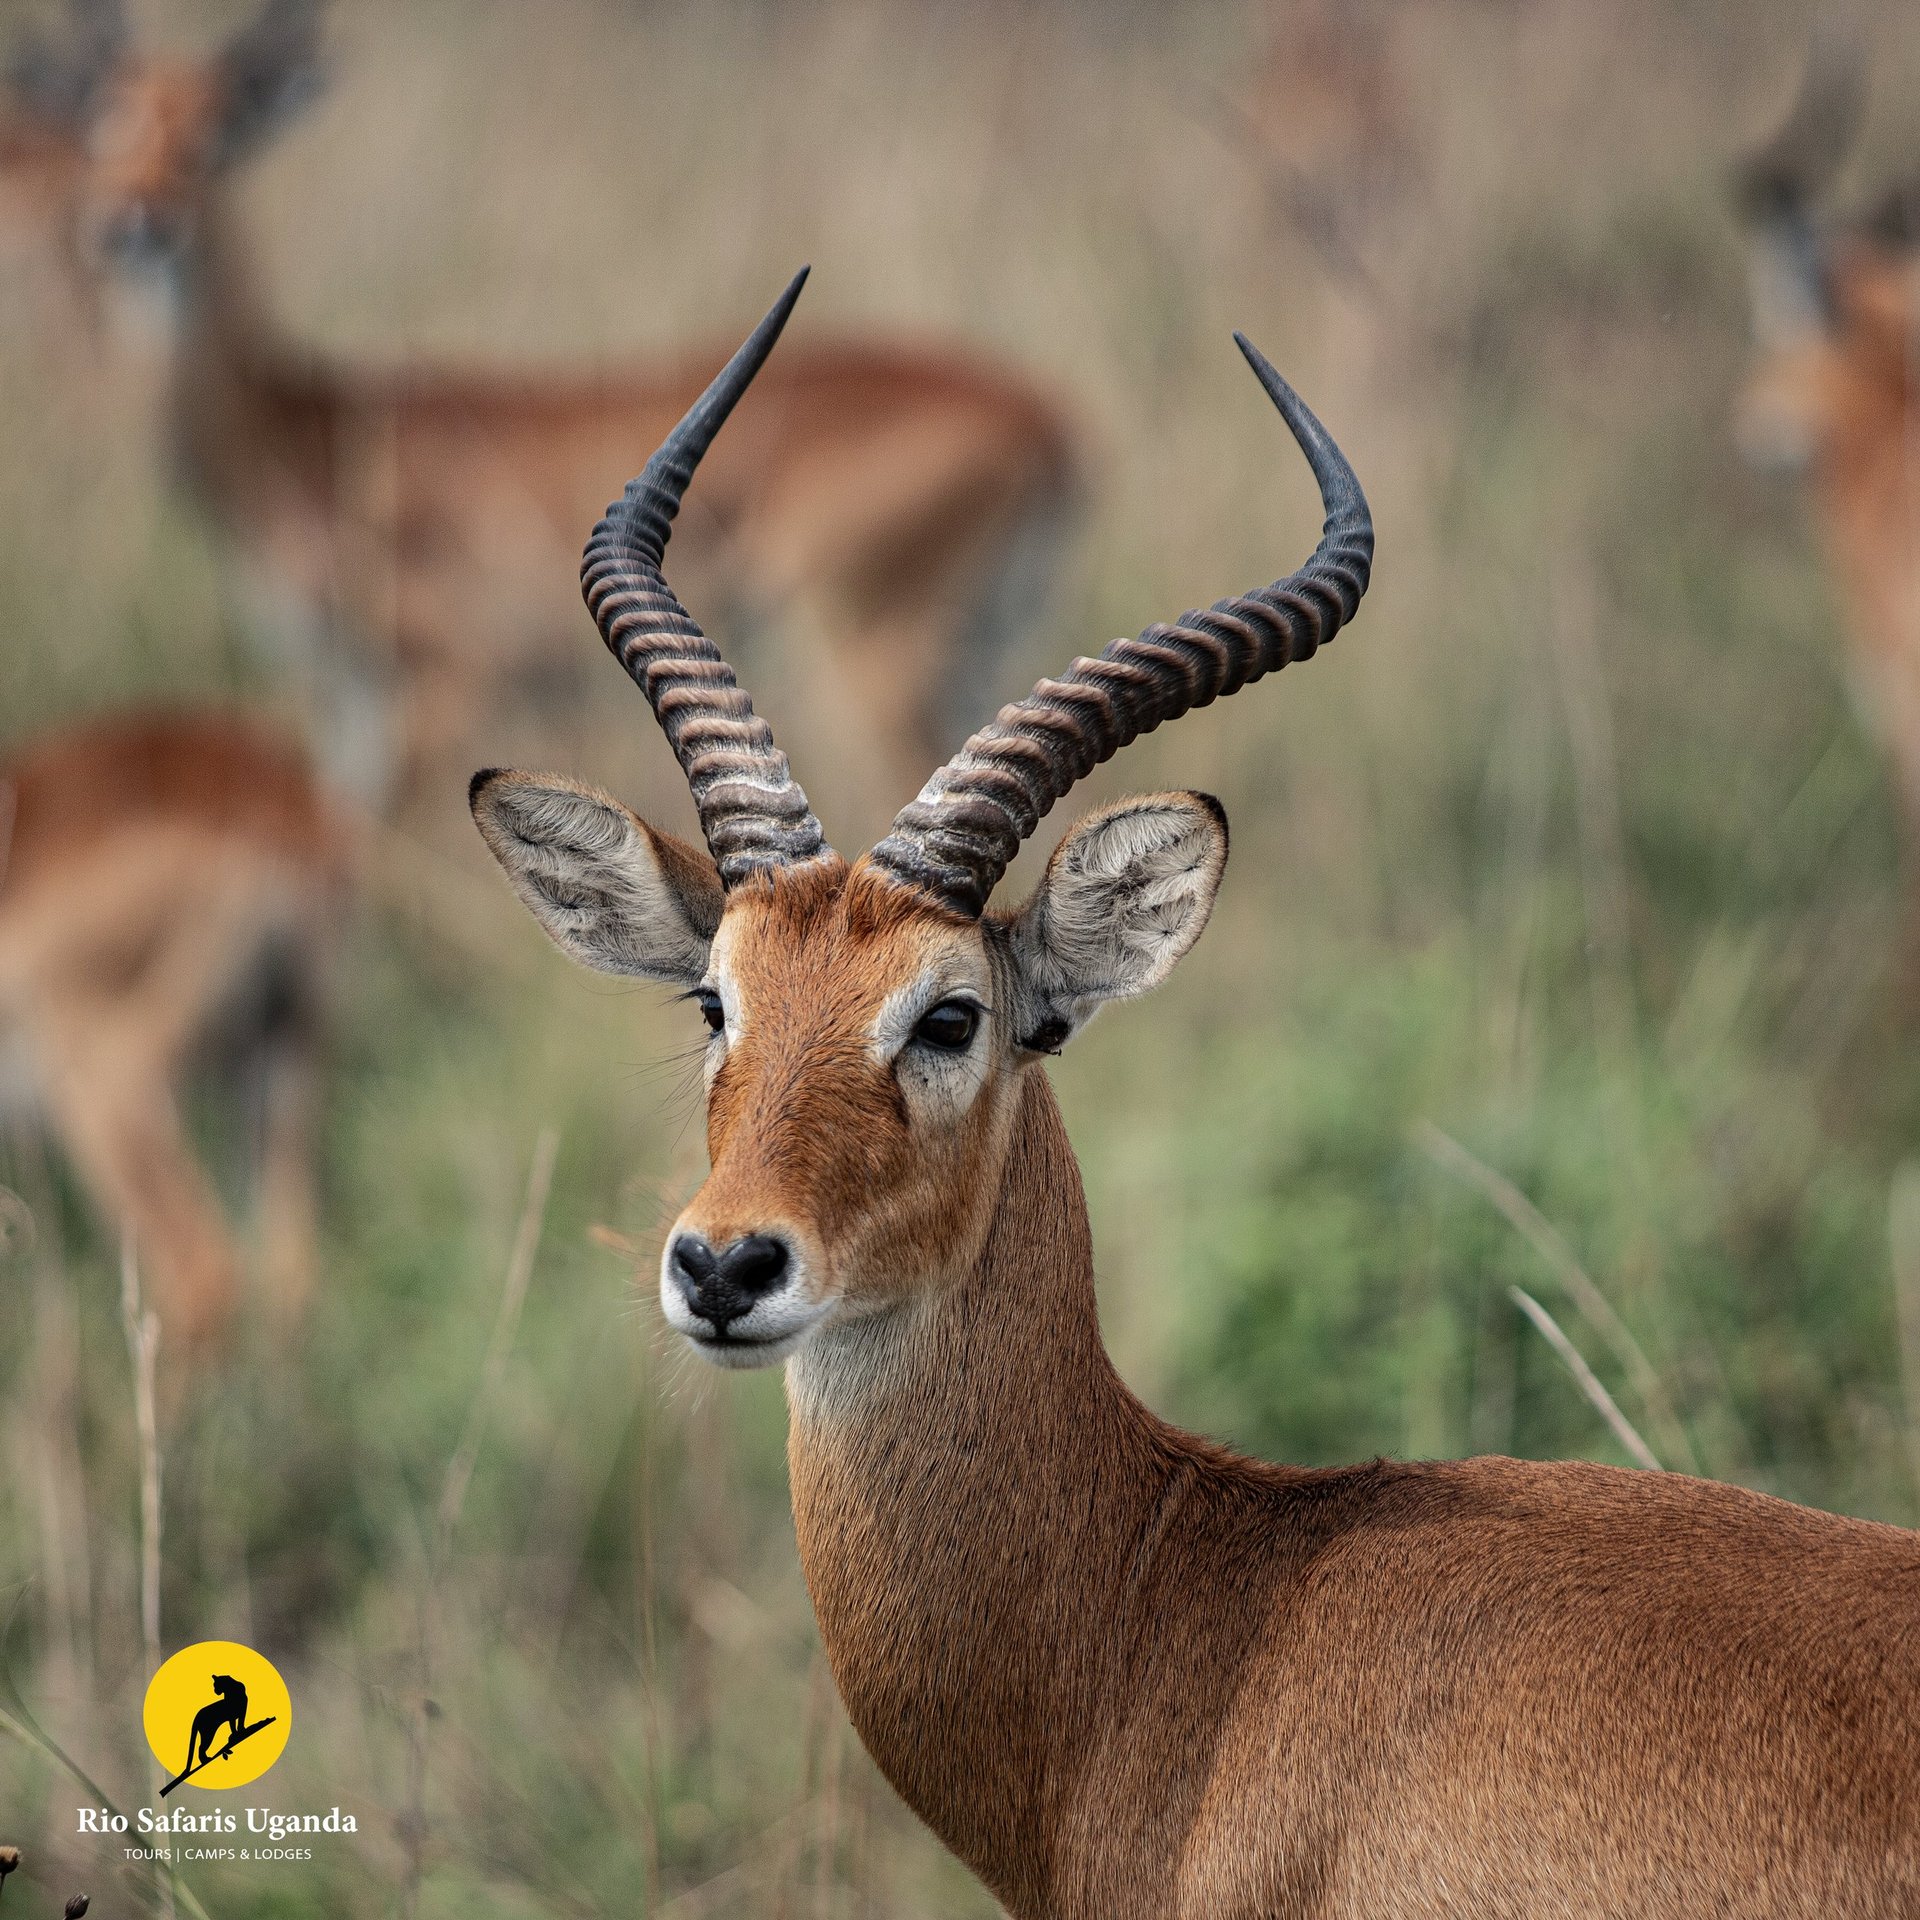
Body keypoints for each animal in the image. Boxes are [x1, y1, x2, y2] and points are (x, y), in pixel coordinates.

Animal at [2, 0, 1080, 839]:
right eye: (106, 124)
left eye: (217, 131)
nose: (134, 219)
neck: (303, 430)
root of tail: (1052, 422)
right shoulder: (351, 700)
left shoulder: (438, 691)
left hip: (870, 662)